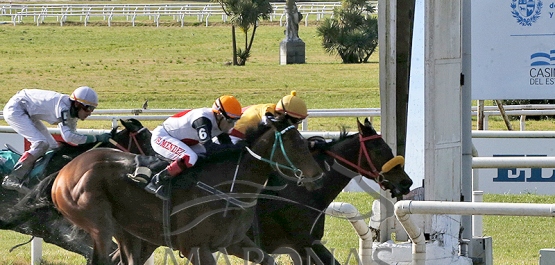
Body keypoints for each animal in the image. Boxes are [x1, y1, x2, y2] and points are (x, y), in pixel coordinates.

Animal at [52, 118, 326, 264]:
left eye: (304, 142)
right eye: (294, 144)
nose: (319, 177)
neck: (229, 186)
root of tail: (62, 174)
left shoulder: (235, 242)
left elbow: (267, 258)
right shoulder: (196, 248)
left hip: (127, 232)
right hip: (99, 222)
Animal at [248, 118, 412, 264]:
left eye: (389, 148)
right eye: (378, 150)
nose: (406, 182)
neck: (301, 192)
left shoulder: (301, 247)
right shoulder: (306, 243)